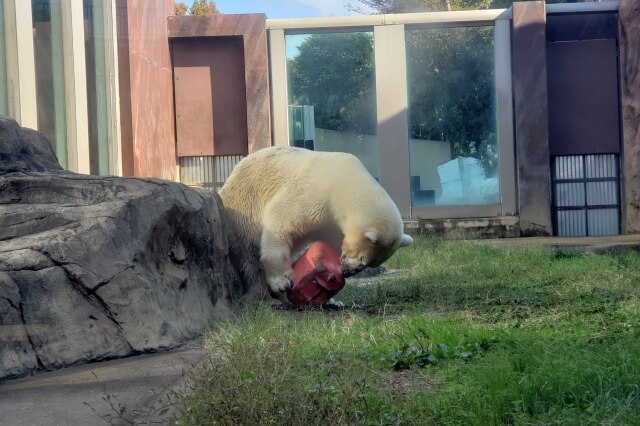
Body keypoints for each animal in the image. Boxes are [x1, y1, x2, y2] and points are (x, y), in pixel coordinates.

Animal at [219, 147, 410, 306]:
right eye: (362, 259)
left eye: (371, 264)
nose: (347, 272)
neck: (344, 182)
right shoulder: (314, 192)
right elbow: (280, 220)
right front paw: (281, 281)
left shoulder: (331, 223)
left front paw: (332, 298)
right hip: (244, 204)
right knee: (249, 253)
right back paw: (267, 297)